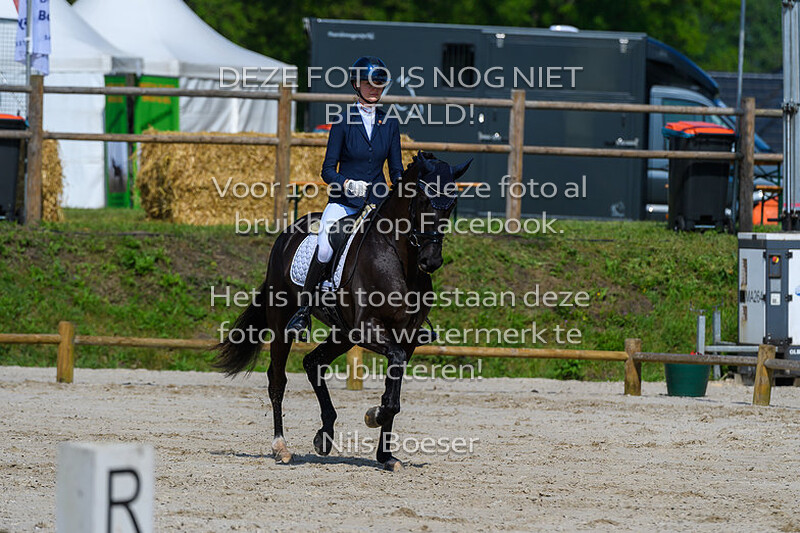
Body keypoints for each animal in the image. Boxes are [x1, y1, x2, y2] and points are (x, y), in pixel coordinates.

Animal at [214, 151, 472, 471]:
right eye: (423, 199)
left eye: (451, 204)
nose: (431, 261)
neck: (401, 260)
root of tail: (288, 233)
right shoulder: (368, 330)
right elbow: (392, 387)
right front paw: (375, 415)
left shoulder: (406, 338)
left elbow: (394, 389)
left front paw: (385, 454)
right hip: (283, 322)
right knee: (278, 379)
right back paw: (281, 447)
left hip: (343, 333)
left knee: (313, 362)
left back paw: (324, 435)